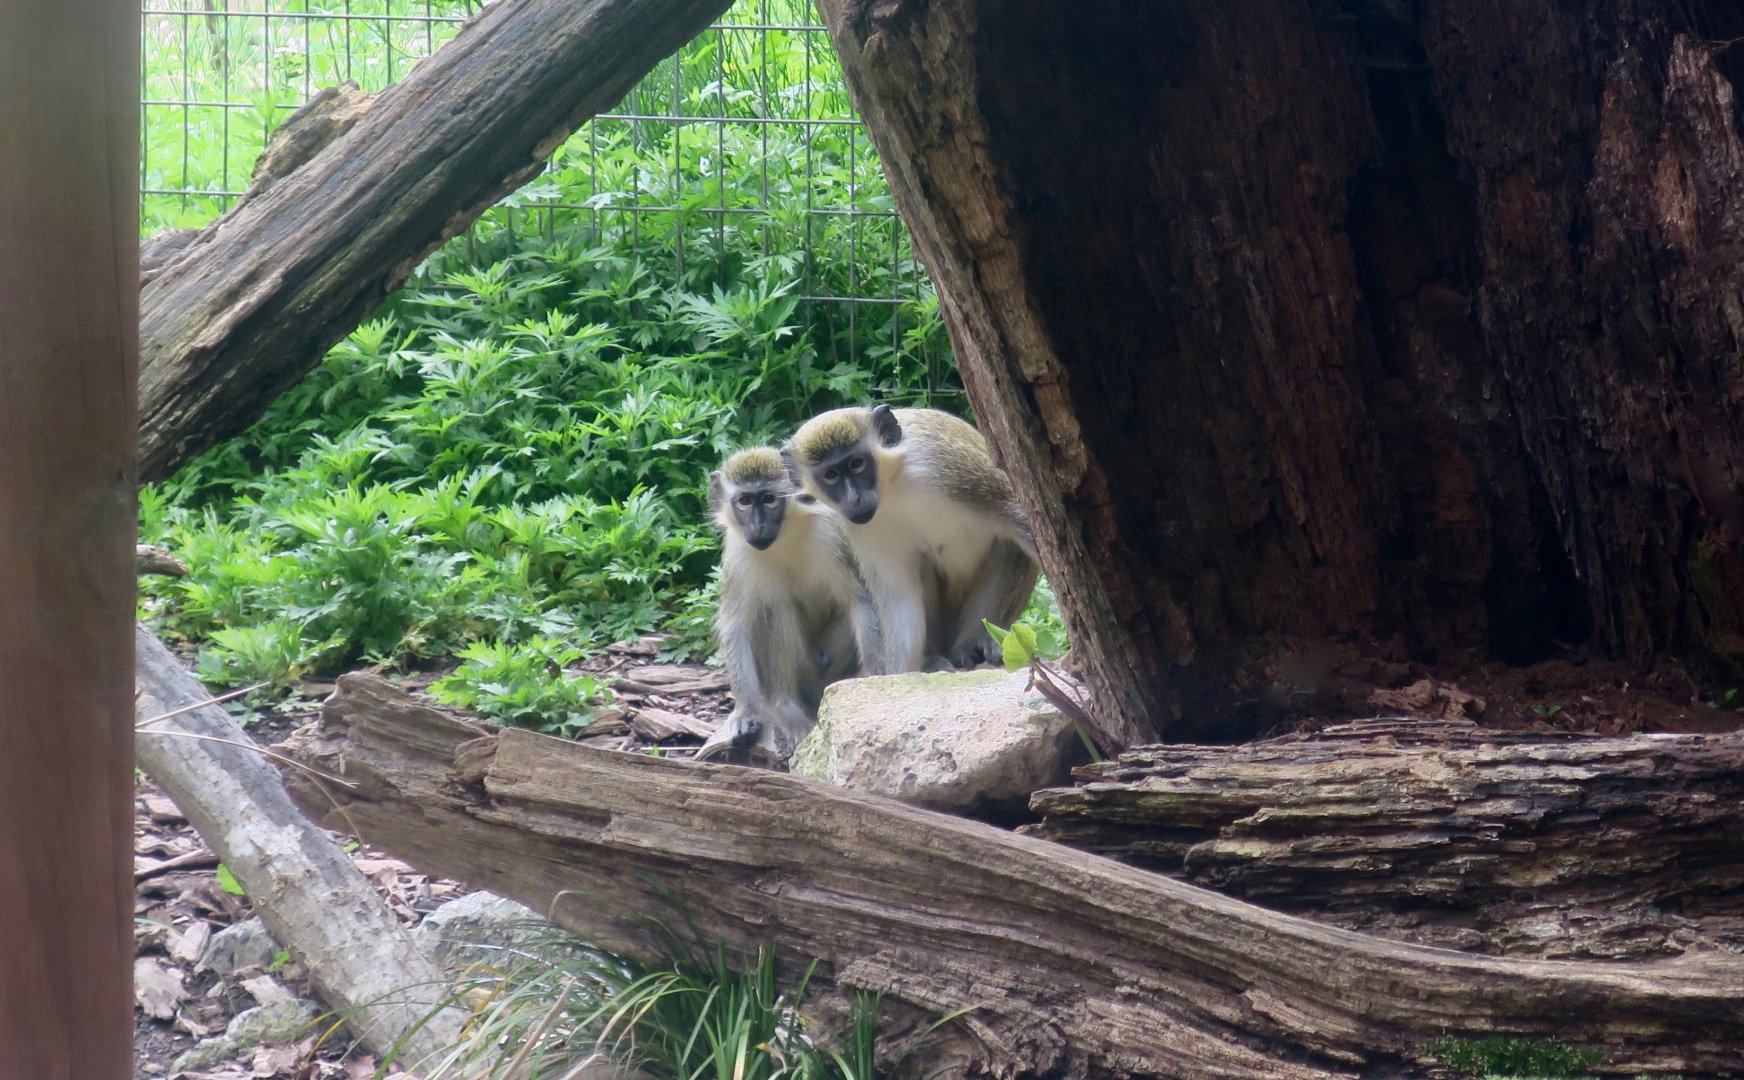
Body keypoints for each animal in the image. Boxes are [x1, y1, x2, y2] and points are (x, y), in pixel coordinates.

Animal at [695, 447, 867, 763]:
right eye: (745, 501)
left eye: (769, 499)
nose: (758, 525)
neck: (785, 537)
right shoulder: (737, 554)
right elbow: (735, 627)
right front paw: (744, 713)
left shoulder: (830, 534)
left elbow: (859, 600)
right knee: (775, 607)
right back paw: (783, 706)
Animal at [787, 405, 1039, 675]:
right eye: (830, 475)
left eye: (857, 464)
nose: (854, 499)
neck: (892, 484)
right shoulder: (861, 527)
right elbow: (899, 595)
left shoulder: (948, 467)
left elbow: (1022, 517)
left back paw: (976, 642)